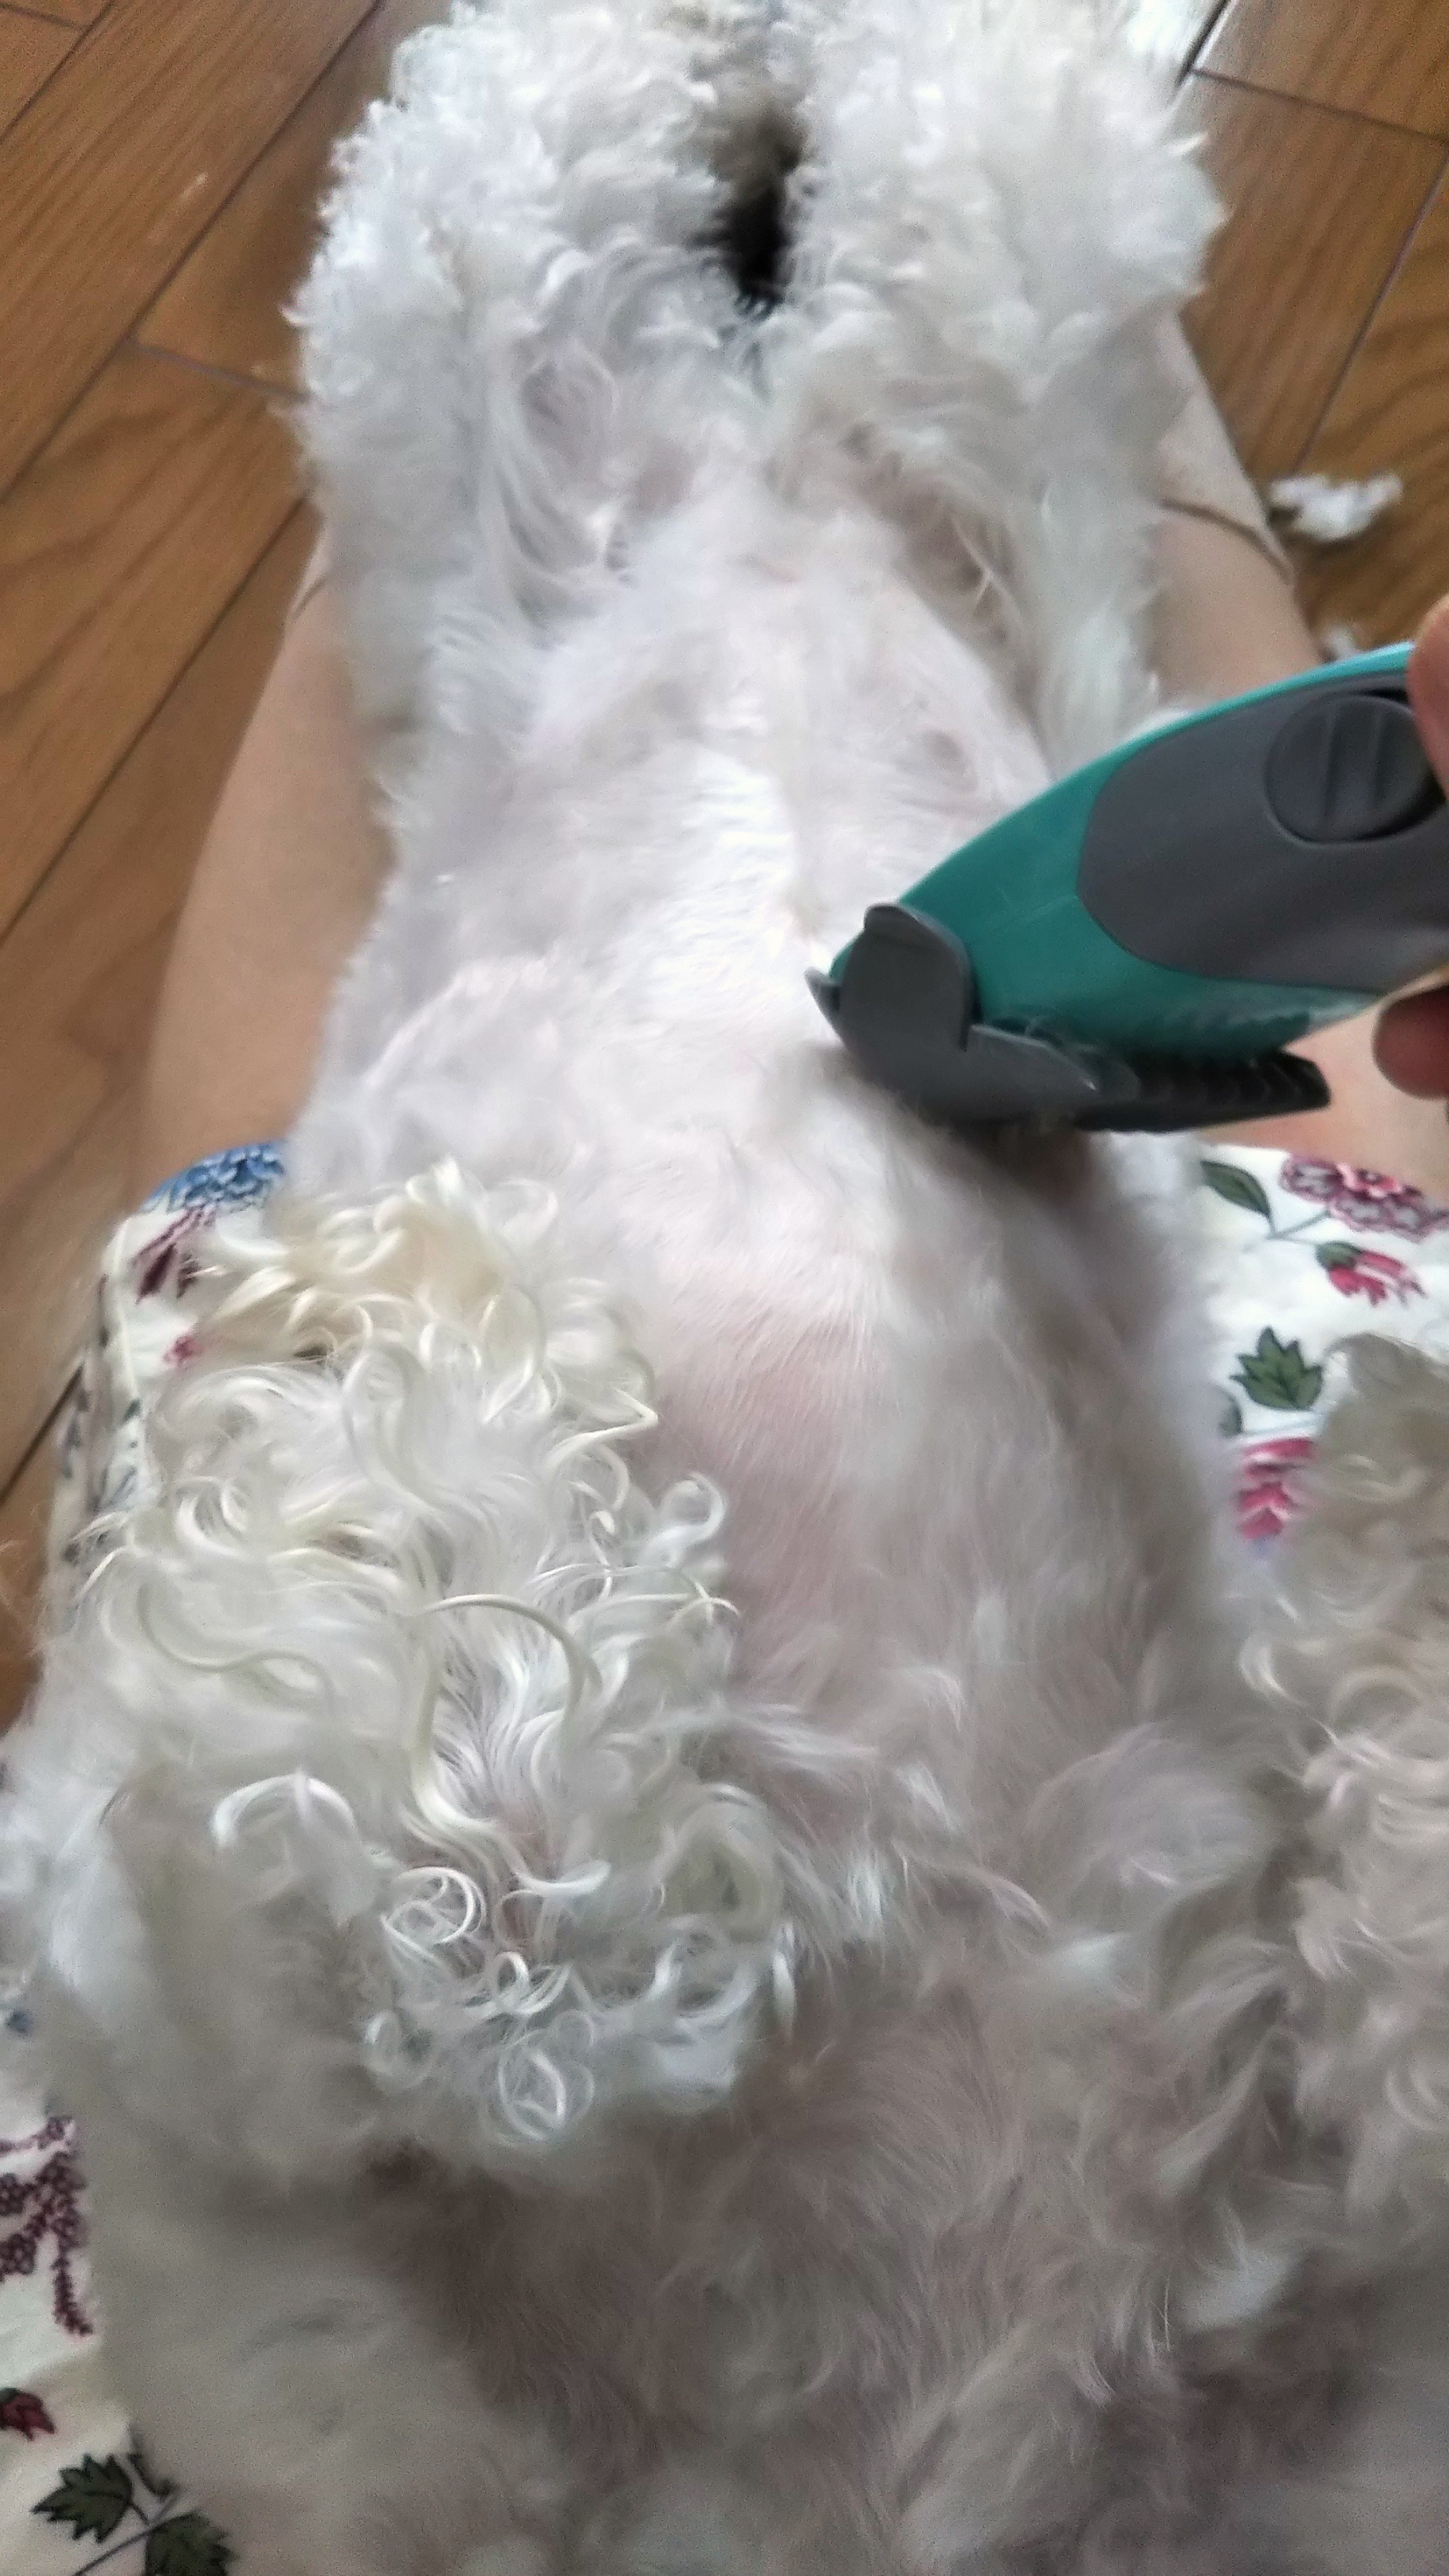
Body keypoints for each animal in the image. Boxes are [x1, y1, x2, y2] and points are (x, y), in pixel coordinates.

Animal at [8, 3, 1449, 2567]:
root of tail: (750, 479)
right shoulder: (240, 2176)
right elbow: (402, 1899)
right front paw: (444, 1455)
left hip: (933, 315)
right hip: (559, 294)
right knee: (631, 98)